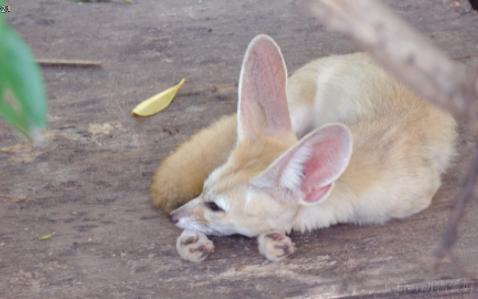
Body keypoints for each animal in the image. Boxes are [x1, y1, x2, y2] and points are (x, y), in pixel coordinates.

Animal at [150, 35, 456, 262]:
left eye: (215, 206)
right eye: (203, 188)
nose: (173, 217)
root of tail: (340, 57)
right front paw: (189, 243)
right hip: (294, 112)